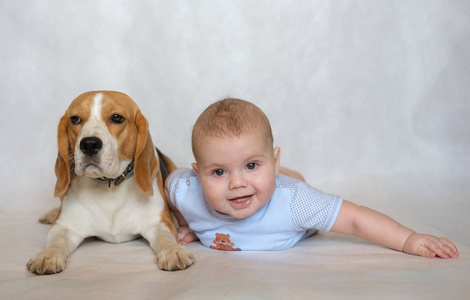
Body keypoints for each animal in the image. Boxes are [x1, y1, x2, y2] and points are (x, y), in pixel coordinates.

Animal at [27, 91, 194, 274]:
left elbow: (166, 237)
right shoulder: (65, 226)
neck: (109, 186)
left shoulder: (158, 223)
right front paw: (47, 255)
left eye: (116, 117)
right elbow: (56, 240)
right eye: (75, 119)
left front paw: (173, 251)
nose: (89, 144)